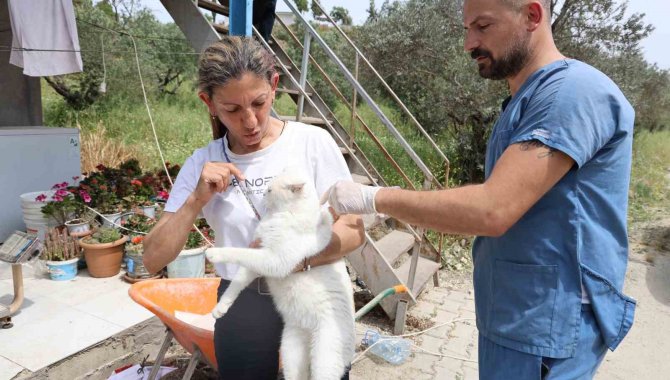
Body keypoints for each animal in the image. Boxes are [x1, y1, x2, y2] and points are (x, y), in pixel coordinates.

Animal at [206, 171, 356, 380]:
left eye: (269, 190)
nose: (263, 195)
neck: (283, 215)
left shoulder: (273, 260)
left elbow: (238, 253)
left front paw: (214, 253)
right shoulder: (257, 262)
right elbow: (236, 283)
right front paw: (221, 308)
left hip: (324, 361)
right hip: (290, 352)